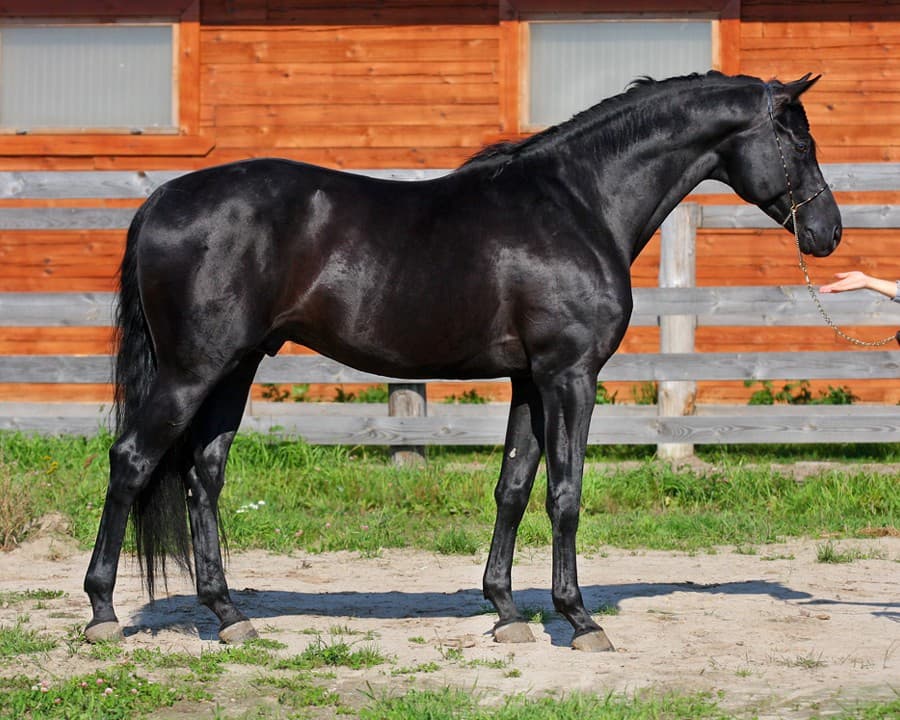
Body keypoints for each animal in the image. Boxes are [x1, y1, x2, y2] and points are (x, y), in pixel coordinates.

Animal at [84, 70, 844, 648]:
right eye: (799, 141)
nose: (828, 232)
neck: (578, 203)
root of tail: (161, 198)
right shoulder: (570, 376)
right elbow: (565, 492)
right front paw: (579, 619)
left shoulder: (529, 381)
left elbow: (513, 486)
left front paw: (506, 611)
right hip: (192, 371)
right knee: (133, 460)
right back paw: (103, 611)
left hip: (233, 369)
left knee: (203, 476)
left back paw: (229, 615)